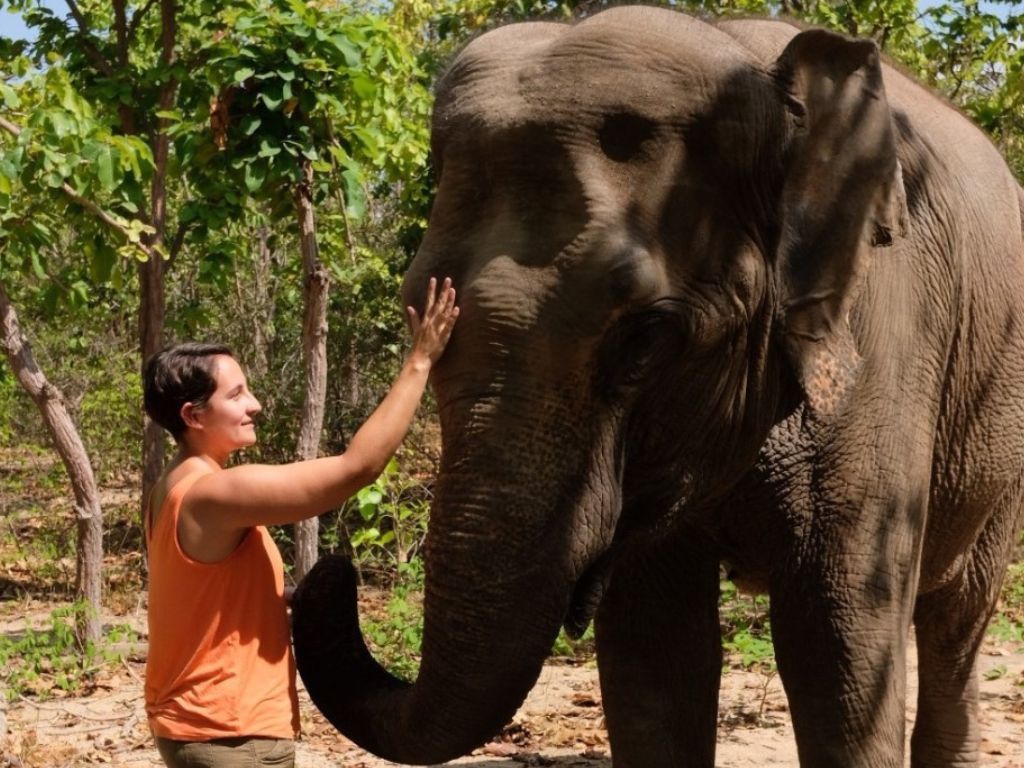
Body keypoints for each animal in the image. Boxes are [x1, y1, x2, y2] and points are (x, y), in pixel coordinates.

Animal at [288, 6, 1024, 768]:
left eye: (644, 339)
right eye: (416, 303)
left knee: (957, 620)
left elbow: (838, 648)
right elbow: (655, 656)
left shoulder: (884, 341)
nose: (332, 571)